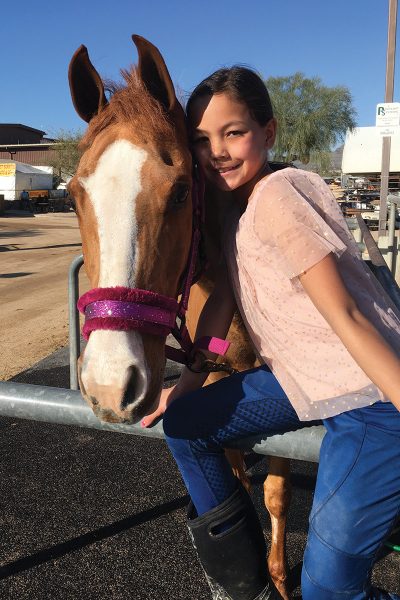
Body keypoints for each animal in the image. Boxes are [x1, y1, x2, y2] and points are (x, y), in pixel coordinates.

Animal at [69, 37, 290, 600]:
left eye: (182, 191)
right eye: (75, 194)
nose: (109, 386)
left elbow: (277, 494)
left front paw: (280, 579)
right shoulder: (211, 377)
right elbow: (235, 479)